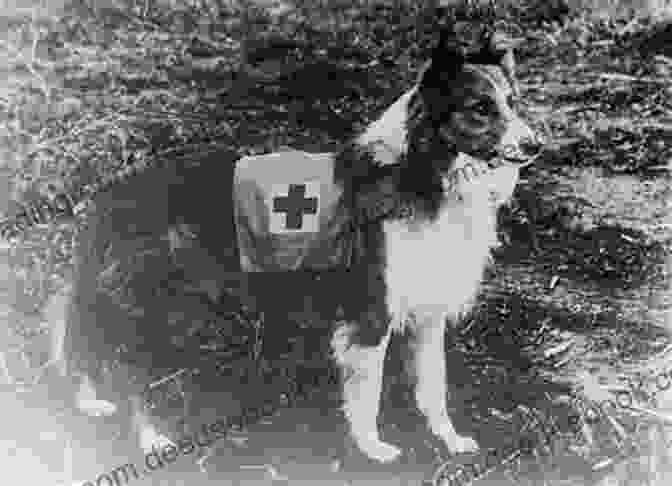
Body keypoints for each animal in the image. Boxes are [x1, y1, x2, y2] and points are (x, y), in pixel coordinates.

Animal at [55, 21, 544, 468]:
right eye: (480, 107)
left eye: (513, 103)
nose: (536, 144)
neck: (424, 171)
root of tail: (108, 193)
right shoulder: (371, 315)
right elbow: (367, 393)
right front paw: (372, 448)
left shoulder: (427, 313)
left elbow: (434, 388)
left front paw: (450, 441)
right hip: (155, 308)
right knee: (127, 373)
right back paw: (152, 440)